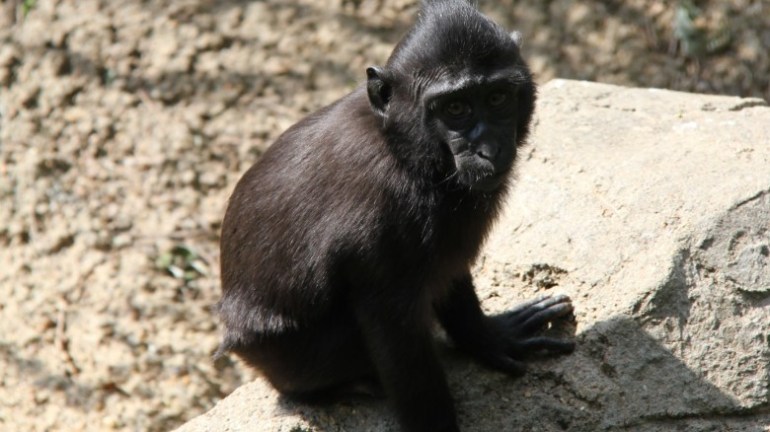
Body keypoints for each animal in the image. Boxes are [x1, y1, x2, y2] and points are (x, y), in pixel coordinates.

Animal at [216, 1, 568, 430]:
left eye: (498, 97)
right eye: (455, 108)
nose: (488, 150)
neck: (403, 150)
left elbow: (450, 276)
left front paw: (490, 338)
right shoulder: (384, 224)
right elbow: (400, 344)